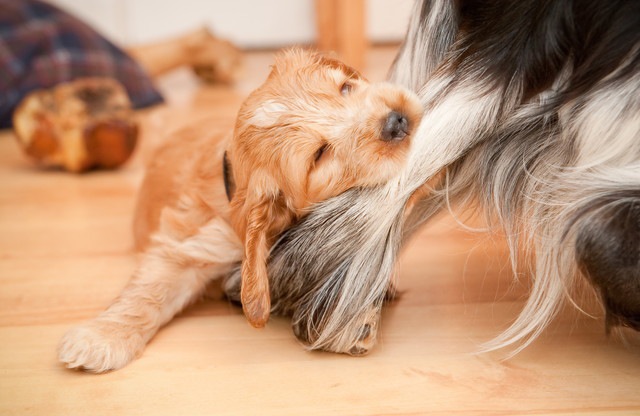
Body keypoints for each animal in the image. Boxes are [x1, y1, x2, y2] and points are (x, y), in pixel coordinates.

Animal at [57, 49, 422, 374]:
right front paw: (100, 338)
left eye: (346, 88)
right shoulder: (190, 243)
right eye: (320, 154)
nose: (396, 120)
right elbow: (148, 291)